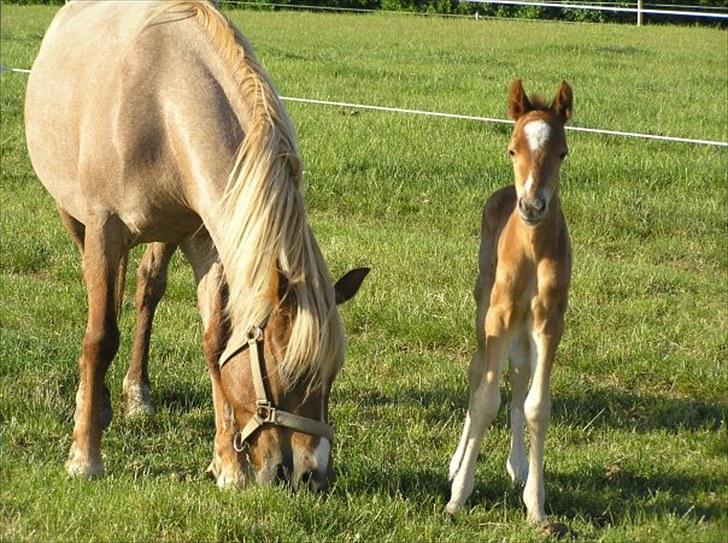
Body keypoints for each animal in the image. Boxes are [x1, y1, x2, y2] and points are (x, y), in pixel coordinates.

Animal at [24, 0, 366, 490]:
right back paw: (98, 401)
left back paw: (136, 393)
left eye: (332, 375)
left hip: (164, 236)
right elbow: (100, 336)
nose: (310, 475)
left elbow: (215, 344)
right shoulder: (104, 228)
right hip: (75, 218)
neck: (161, 104)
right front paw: (84, 457)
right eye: (290, 374)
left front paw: (229, 466)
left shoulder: (207, 241)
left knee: (146, 288)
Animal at [444, 78, 576, 524]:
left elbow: (536, 405)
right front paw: (457, 496)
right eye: (512, 149)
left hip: (523, 328)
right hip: (485, 306)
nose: (532, 206)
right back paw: (456, 463)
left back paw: (517, 465)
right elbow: (485, 398)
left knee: (518, 375)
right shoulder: (499, 317)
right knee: (478, 370)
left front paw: (536, 505)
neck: (533, 250)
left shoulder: (549, 322)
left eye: (562, 151)